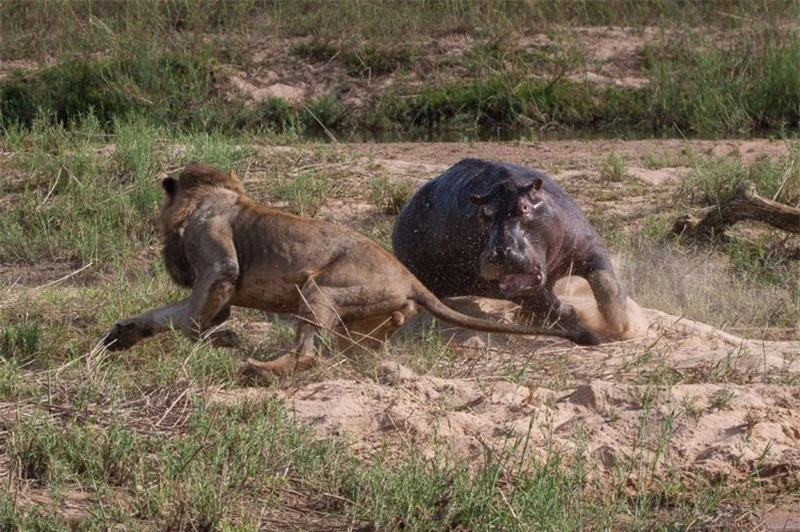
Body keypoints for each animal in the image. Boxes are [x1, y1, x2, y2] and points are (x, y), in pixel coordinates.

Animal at [101, 162, 588, 378]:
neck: (207, 197)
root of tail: (410, 277)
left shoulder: (218, 266)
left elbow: (189, 319)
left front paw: (223, 340)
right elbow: (164, 315)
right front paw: (122, 334)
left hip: (320, 289)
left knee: (308, 352)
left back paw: (261, 369)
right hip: (364, 319)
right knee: (357, 348)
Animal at [394, 158, 632, 344]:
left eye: (525, 207)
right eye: (483, 215)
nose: (500, 253)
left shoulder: (588, 245)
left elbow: (605, 282)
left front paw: (620, 326)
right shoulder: (505, 287)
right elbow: (549, 306)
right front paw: (585, 327)